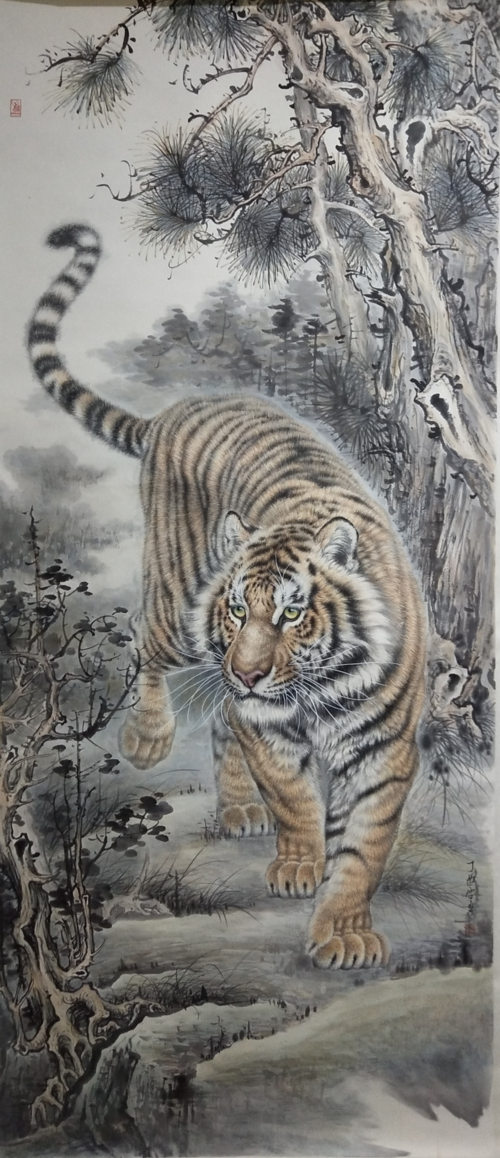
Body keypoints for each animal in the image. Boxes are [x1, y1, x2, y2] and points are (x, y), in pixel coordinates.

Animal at [27, 224, 427, 970]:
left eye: (293, 612)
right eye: (240, 607)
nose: (247, 671)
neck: (319, 685)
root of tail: (181, 406)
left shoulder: (382, 749)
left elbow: (363, 845)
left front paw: (343, 931)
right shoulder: (265, 723)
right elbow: (295, 797)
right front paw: (299, 864)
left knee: (219, 719)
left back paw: (239, 809)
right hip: (177, 606)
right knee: (152, 651)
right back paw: (149, 738)